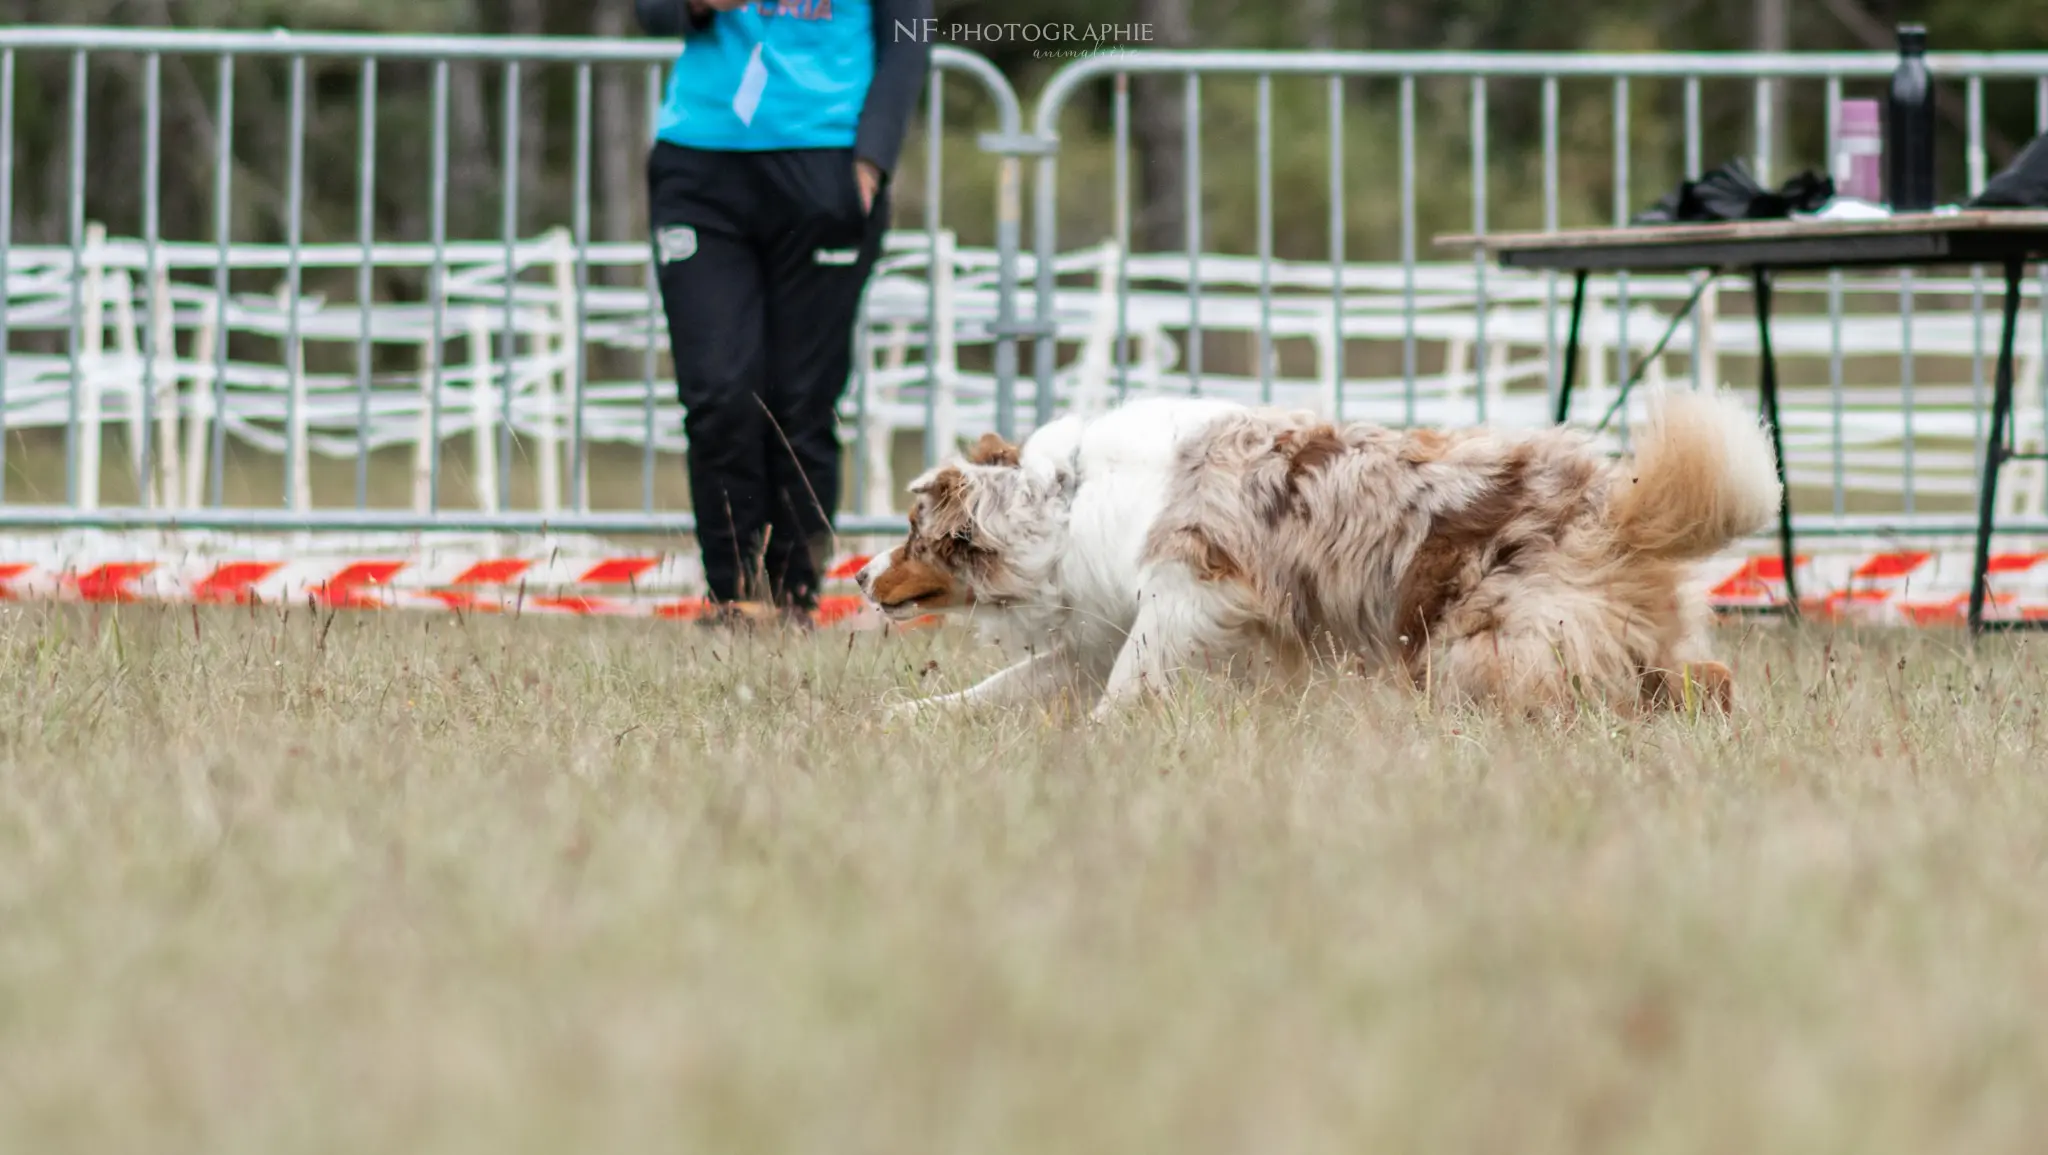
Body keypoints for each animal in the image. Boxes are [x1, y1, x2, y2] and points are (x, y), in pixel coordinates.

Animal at [856, 387, 1785, 716]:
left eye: (909, 533)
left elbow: (1127, 679)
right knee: (1704, 678)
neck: (1065, 498)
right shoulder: (1102, 623)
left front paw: (1105, 737)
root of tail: (1615, 500)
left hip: (1486, 636)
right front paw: (908, 715)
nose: (860, 575)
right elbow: (1003, 686)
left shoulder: (1192, 591)